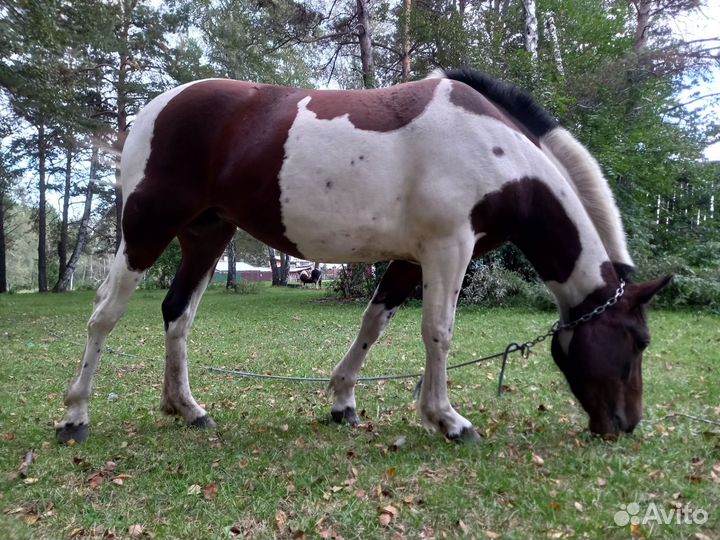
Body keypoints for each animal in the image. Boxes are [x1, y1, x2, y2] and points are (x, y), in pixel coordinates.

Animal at [56, 68, 670, 444]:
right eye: (638, 341)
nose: (626, 424)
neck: (495, 150)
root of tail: (157, 107)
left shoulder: (412, 259)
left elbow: (374, 324)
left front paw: (343, 401)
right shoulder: (449, 249)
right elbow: (438, 332)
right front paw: (447, 419)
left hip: (207, 235)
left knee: (177, 314)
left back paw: (186, 408)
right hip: (148, 227)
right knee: (104, 316)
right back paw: (75, 415)